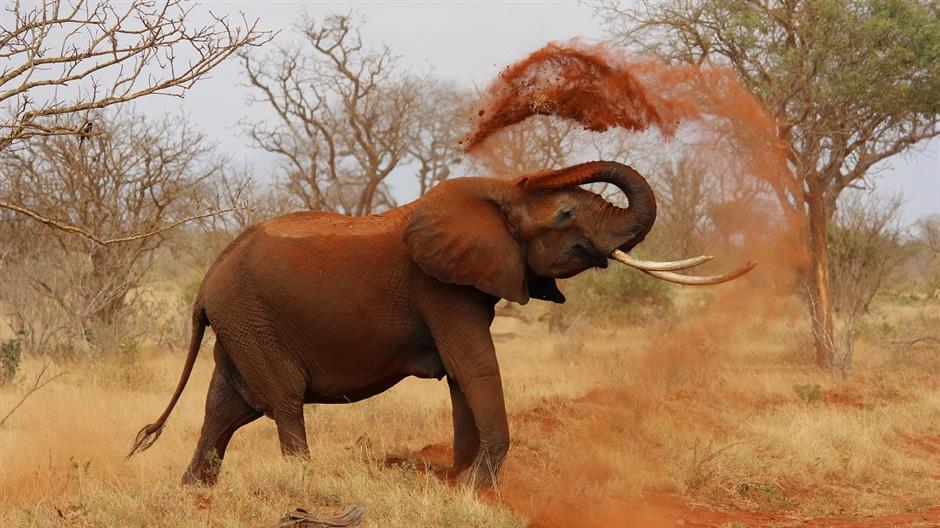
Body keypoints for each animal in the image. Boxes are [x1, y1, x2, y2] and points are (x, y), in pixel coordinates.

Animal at [128, 160, 753, 487]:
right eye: (567, 213)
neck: (497, 195)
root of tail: (206, 281)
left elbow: (461, 375)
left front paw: (459, 481)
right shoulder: (440, 287)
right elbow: (474, 365)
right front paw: (478, 487)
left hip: (240, 322)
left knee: (226, 406)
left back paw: (195, 494)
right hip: (251, 318)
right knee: (280, 398)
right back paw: (305, 484)